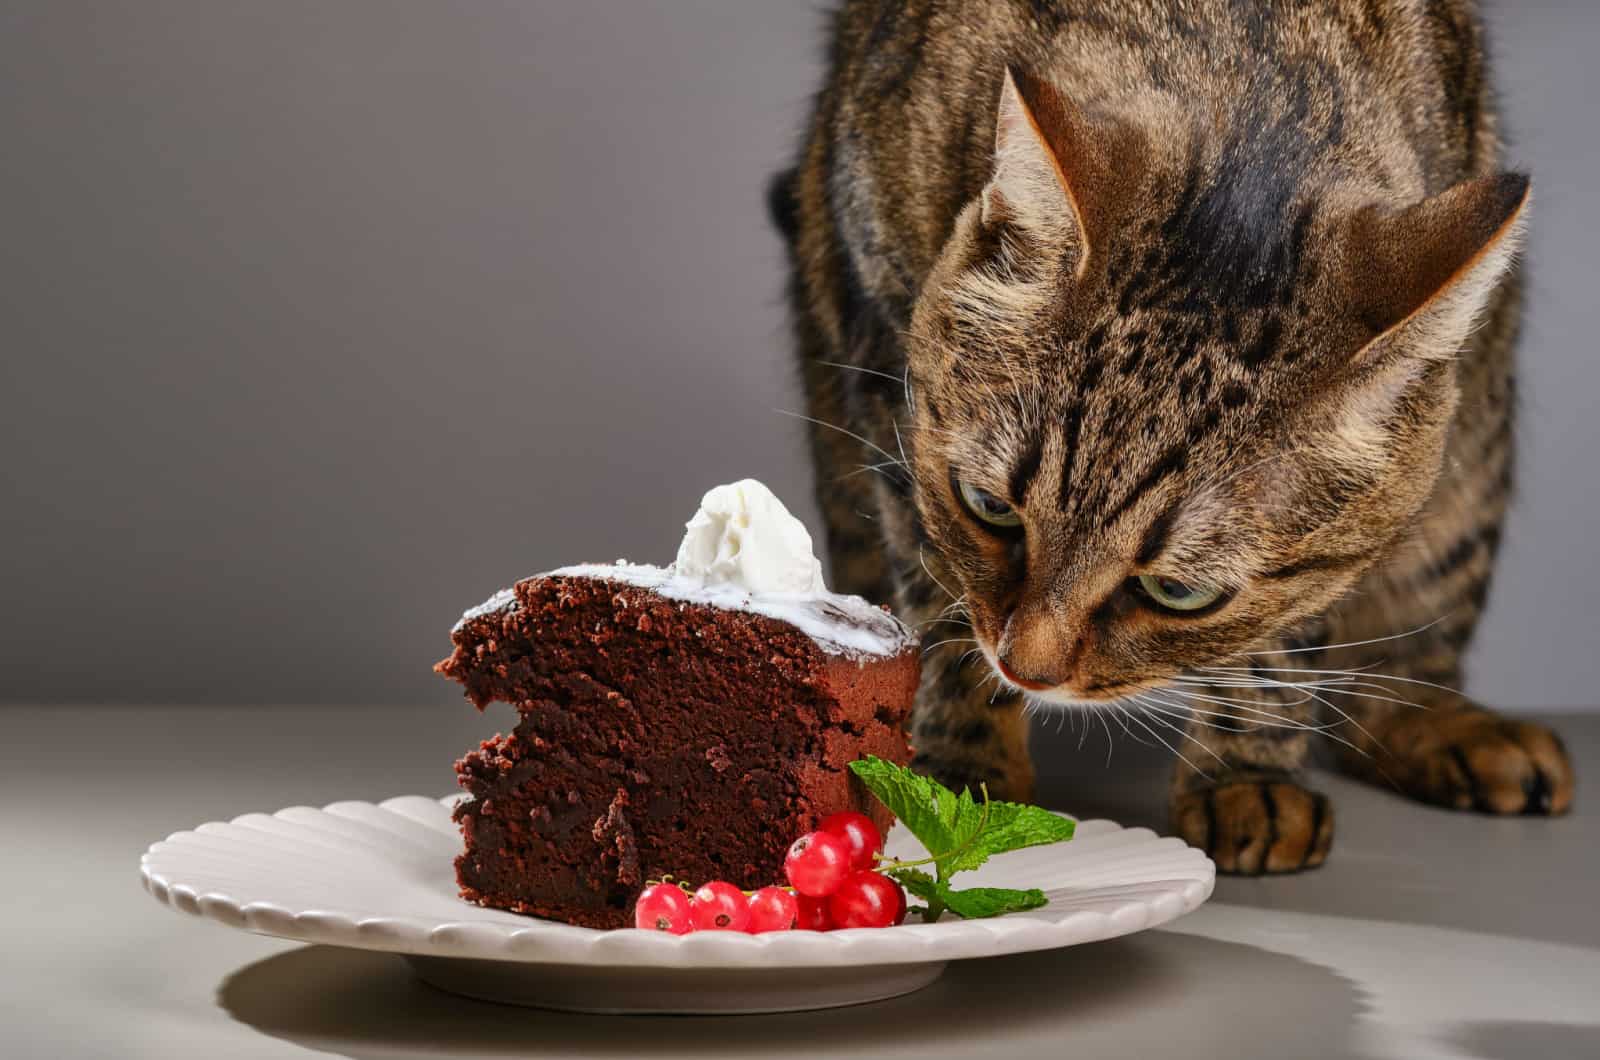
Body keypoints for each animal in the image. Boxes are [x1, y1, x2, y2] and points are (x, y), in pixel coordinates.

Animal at [771, 0, 1574, 871]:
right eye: (989, 508)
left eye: (1179, 593)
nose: (1026, 668)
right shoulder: (882, 347)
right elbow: (939, 601)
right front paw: (960, 770)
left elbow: (1278, 643)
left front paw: (1247, 775)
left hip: (1472, 457)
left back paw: (1452, 725)